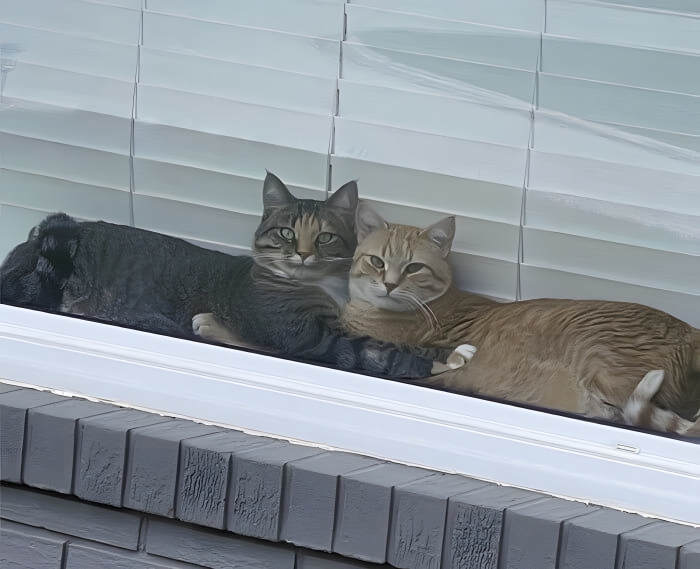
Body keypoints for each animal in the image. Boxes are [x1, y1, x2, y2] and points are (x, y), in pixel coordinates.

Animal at [0, 173, 469, 379]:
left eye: (325, 237)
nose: (302, 254)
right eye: (286, 233)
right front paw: (451, 356)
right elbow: (380, 349)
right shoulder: (311, 335)